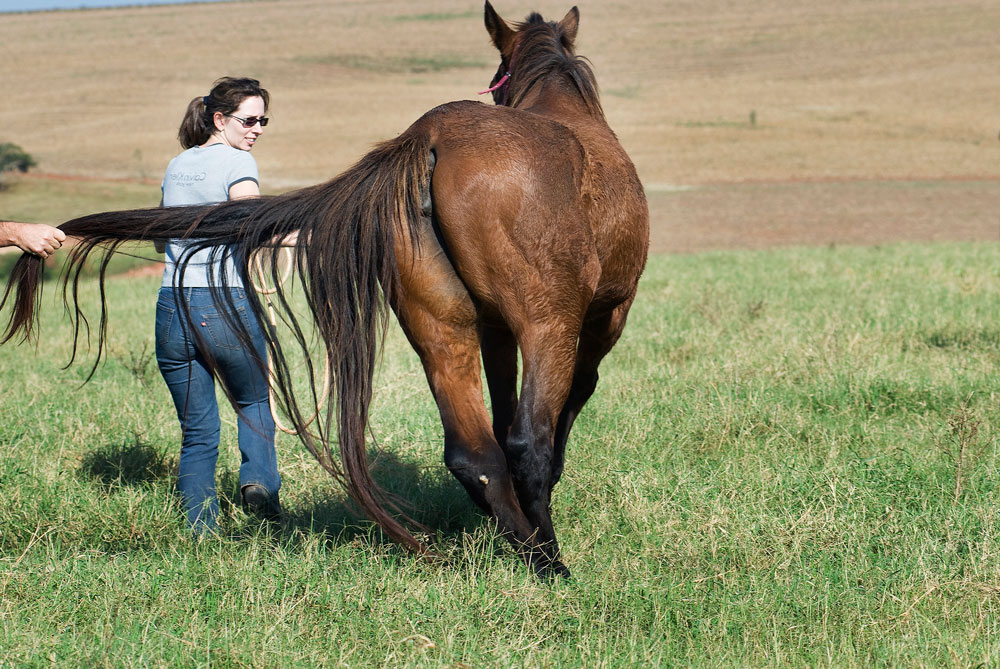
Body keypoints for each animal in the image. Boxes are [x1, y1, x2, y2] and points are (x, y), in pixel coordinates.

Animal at [1, 2, 649, 578]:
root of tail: (429, 138)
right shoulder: (602, 319)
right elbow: (568, 407)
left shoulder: (492, 330)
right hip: (546, 323)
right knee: (526, 443)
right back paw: (549, 562)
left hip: (444, 328)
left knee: (476, 452)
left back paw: (519, 544)